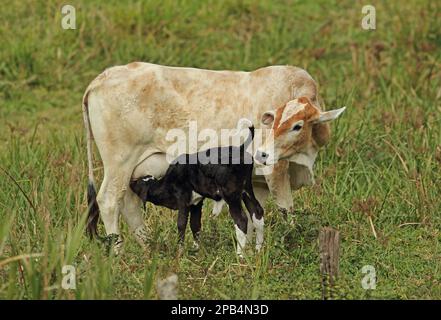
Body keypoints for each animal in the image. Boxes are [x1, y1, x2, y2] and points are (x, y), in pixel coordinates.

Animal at [82, 62, 334, 251]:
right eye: (277, 122)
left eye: (298, 125)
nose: (264, 152)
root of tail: (102, 77)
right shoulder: (275, 171)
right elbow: (286, 208)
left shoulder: (255, 182)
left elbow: (255, 214)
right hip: (119, 163)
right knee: (109, 200)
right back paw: (119, 252)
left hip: (134, 168)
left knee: (129, 203)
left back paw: (147, 247)